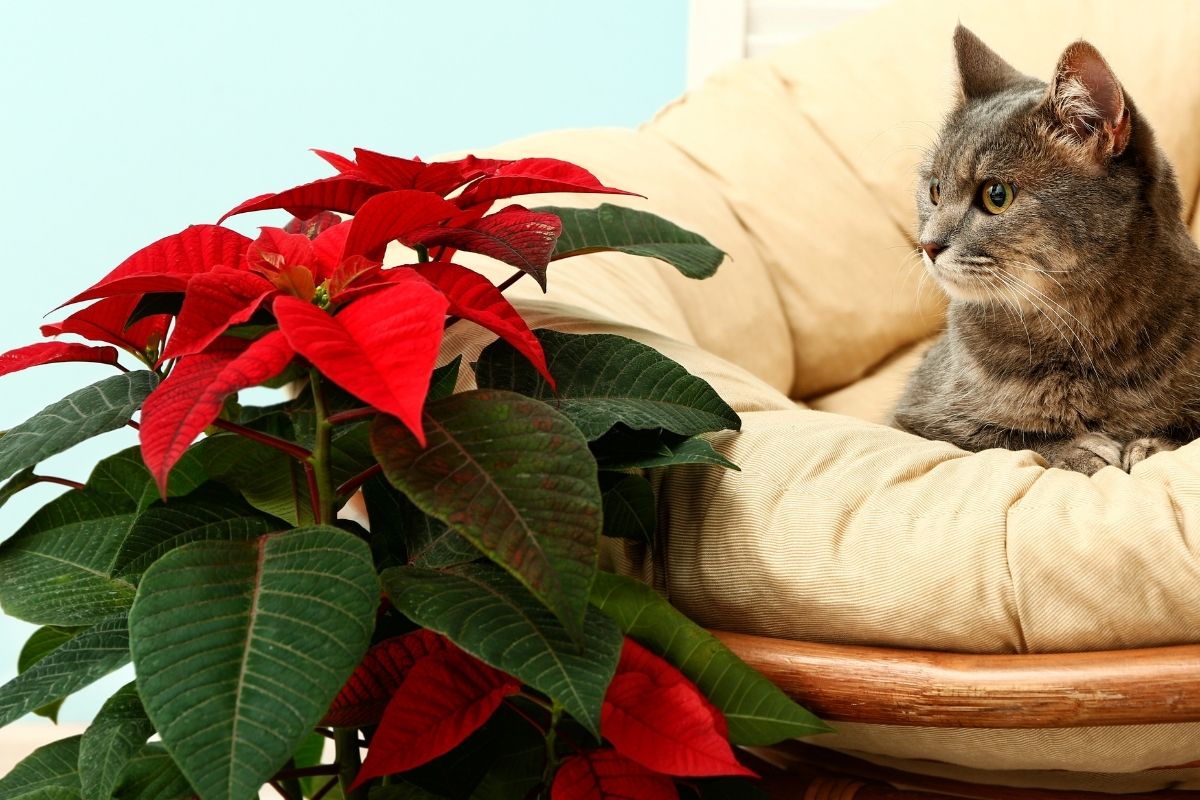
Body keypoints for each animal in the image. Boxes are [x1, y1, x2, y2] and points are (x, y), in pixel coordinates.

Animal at [892, 25, 1200, 474]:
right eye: (934, 189)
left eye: (996, 195)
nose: (927, 245)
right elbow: (1003, 437)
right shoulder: (914, 415)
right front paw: (1079, 449)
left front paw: (1152, 444)